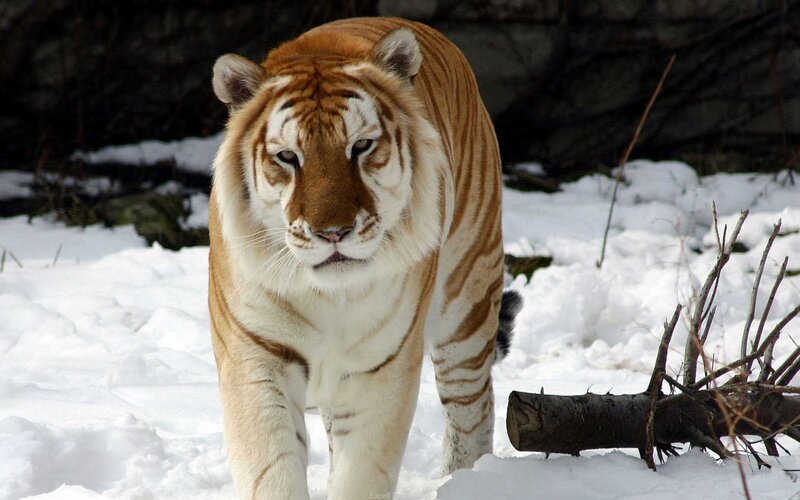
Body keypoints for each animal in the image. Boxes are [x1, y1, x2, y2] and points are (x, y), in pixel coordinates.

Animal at [208, 16, 521, 499]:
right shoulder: (256, 356)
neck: (328, 296)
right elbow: (273, 468)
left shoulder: (382, 366)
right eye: (288, 157)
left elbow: (362, 472)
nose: (333, 232)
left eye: (360, 147)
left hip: (467, 299)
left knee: (473, 405)